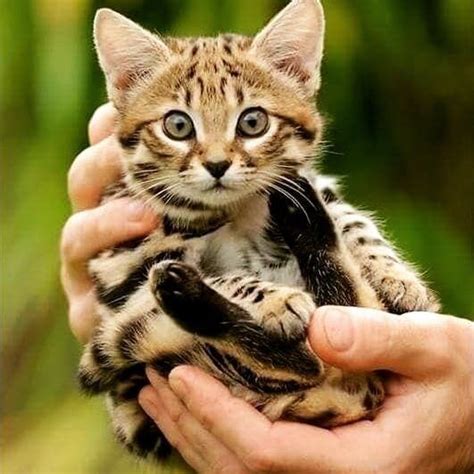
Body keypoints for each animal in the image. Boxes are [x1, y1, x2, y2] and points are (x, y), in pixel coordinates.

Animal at [78, 0, 440, 462]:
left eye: (253, 122)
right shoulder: (126, 271)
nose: (217, 165)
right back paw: (184, 290)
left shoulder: (316, 185)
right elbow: (226, 276)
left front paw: (399, 278)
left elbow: (356, 222)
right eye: (178, 126)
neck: (238, 208)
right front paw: (277, 301)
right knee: (298, 361)